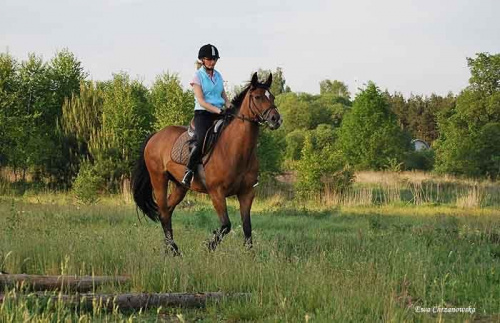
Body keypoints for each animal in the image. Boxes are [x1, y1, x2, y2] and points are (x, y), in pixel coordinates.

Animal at [131, 73, 284, 256]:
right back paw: (174, 250)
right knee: (163, 212)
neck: (235, 150)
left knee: (167, 211)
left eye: (272, 96)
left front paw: (250, 256)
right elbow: (226, 225)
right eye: (257, 97)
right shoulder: (216, 192)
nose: (276, 119)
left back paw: (170, 248)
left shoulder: (247, 193)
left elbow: (247, 227)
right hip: (159, 179)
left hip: (180, 186)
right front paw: (207, 246)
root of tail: (155, 136)